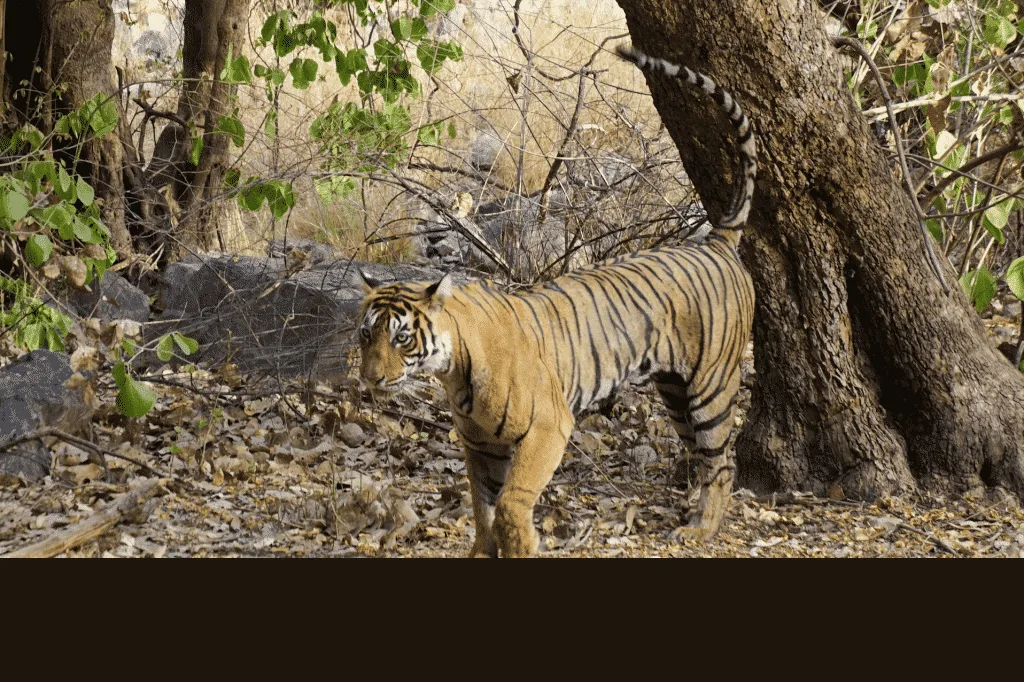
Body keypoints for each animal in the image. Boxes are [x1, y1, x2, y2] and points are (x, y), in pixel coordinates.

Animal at [356, 45, 757, 557]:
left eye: (402, 338)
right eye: (366, 335)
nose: (371, 379)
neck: (453, 366)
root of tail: (715, 241)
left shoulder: (548, 427)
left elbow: (511, 501)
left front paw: (523, 543)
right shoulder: (479, 443)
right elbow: (482, 507)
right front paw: (484, 550)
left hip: (711, 386)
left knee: (722, 460)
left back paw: (701, 528)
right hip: (674, 389)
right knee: (702, 455)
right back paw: (692, 509)